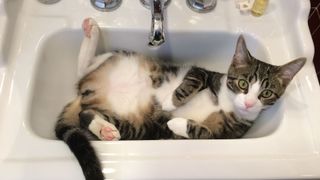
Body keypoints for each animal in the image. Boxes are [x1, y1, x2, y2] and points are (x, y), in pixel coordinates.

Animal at [54, 17, 304, 180]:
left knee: (87, 114)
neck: (228, 104)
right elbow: (192, 81)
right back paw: (92, 33)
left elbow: (204, 133)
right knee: (83, 70)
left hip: (139, 128)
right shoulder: (204, 73)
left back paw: (104, 128)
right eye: (243, 83)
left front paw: (176, 122)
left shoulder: (228, 134)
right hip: (121, 59)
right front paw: (170, 102)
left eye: (266, 93)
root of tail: (85, 93)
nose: (250, 102)